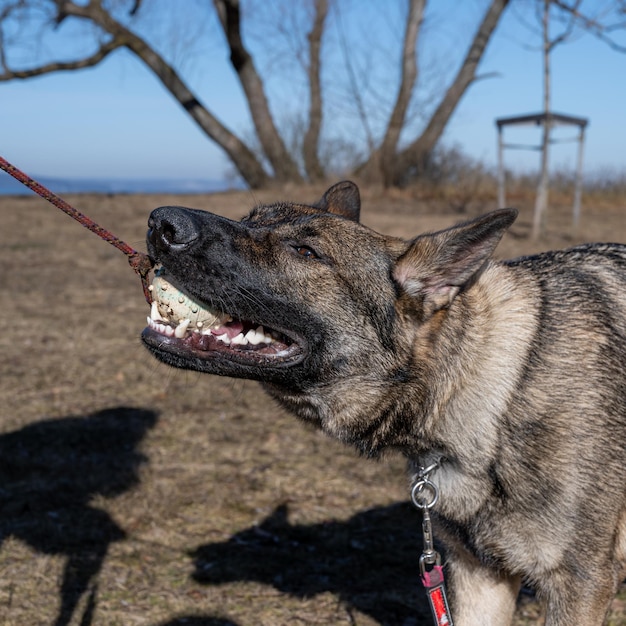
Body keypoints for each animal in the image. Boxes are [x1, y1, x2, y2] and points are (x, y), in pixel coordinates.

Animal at [141, 178, 624, 620]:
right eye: (249, 219)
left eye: (305, 252)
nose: (161, 222)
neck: (494, 391)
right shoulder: (479, 575)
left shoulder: (579, 587)